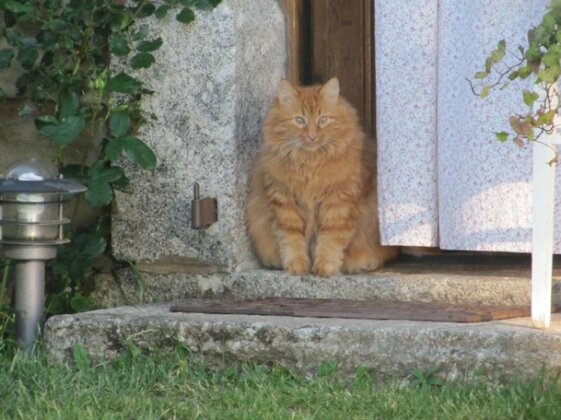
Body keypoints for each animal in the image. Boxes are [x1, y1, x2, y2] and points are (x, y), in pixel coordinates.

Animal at [246, 78, 398, 276]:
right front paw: (297, 266)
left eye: (323, 120)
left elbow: (330, 240)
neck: (310, 163)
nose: (312, 136)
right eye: (300, 120)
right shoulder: (284, 202)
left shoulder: (339, 203)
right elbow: (291, 239)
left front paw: (325, 267)